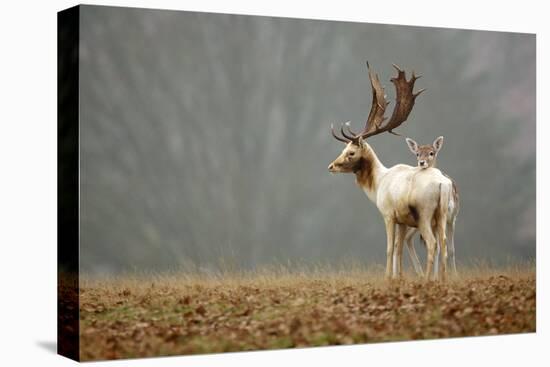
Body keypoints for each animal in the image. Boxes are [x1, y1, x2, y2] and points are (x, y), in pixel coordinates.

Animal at [330, 63, 454, 282]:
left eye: (351, 152)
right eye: (343, 149)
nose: (331, 166)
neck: (378, 184)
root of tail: (443, 184)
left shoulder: (388, 214)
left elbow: (389, 248)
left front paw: (388, 277)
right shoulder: (402, 220)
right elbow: (398, 248)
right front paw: (399, 277)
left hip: (424, 213)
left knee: (432, 244)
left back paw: (427, 279)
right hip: (441, 215)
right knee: (444, 244)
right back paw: (442, 279)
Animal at [398, 137, 464, 278]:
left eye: (431, 153)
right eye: (417, 153)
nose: (421, 162)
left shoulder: (452, 218)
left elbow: (451, 249)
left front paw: (454, 276)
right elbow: (438, 247)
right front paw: (436, 277)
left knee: (410, 238)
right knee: (408, 238)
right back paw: (421, 274)